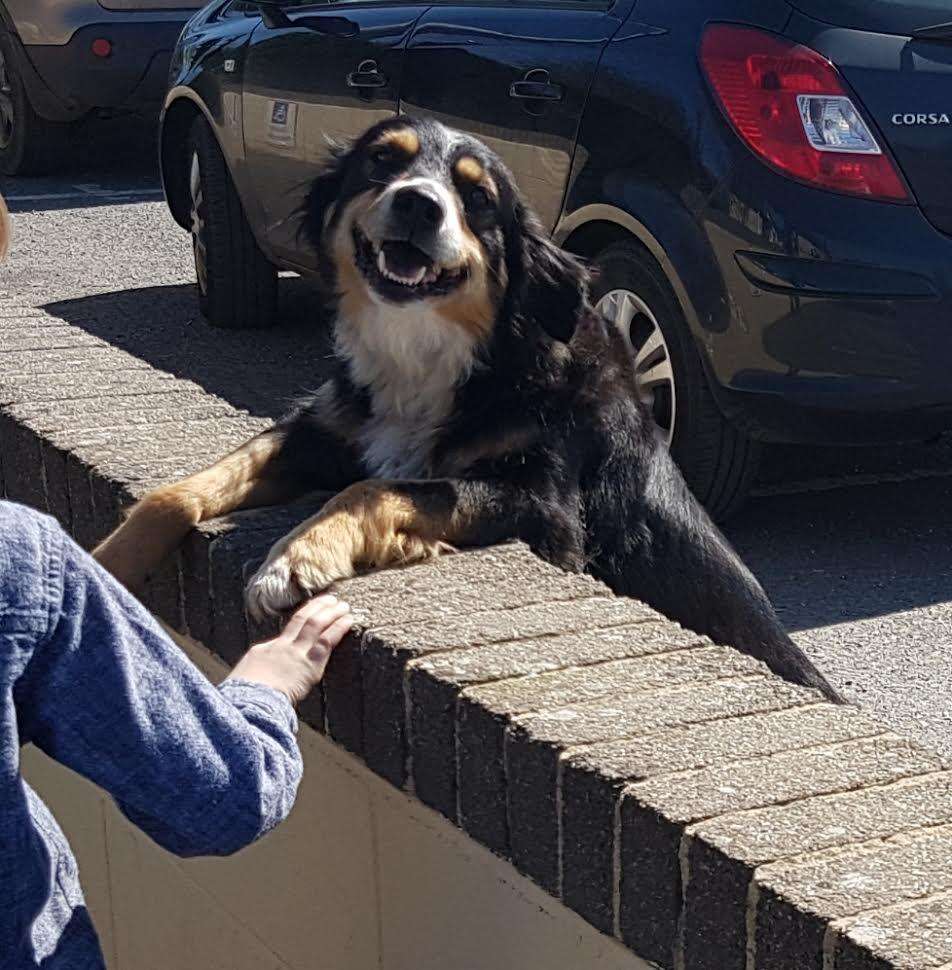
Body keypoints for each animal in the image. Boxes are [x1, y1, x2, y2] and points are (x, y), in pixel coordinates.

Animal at [95, 117, 840, 700]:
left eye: (477, 196)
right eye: (382, 161)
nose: (419, 205)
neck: (442, 356)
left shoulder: (548, 510)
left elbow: (377, 488)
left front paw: (293, 558)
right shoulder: (325, 429)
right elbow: (179, 491)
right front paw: (108, 561)